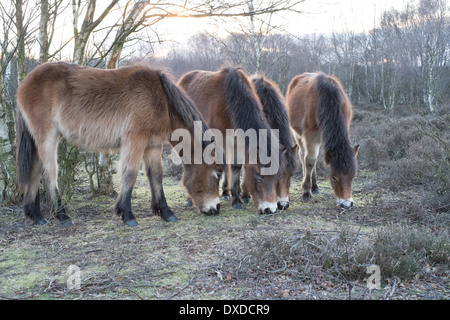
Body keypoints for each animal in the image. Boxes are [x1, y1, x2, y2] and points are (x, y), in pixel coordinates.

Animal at [15, 61, 221, 226]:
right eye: (218, 173)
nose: (216, 208)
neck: (159, 99)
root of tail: (25, 83)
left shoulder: (153, 145)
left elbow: (156, 175)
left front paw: (165, 212)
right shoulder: (135, 140)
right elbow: (130, 174)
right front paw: (127, 214)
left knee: (34, 169)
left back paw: (36, 216)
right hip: (47, 137)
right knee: (49, 173)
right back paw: (63, 216)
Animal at [178, 66, 286, 214]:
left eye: (278, 176)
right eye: (259, 178)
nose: (270, 209)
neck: (230, 102)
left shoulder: (236, 142)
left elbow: (235, 166)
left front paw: (236, 199)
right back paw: (190, 199)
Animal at [286, 71, 360, 209]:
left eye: (353, 176)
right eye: (334, 178)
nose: (346, 204)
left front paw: (311, 187)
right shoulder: (311, 135)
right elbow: (309, 161)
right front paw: (306, 191)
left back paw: (315, 186)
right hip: (298, 135)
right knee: (304, 156)